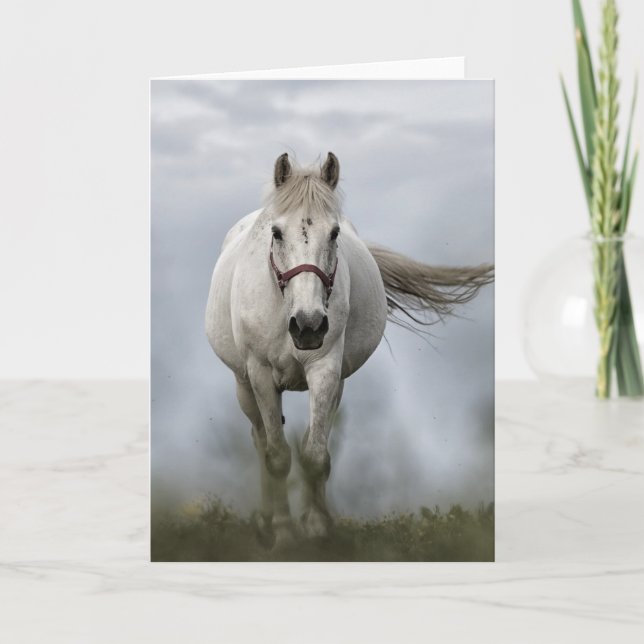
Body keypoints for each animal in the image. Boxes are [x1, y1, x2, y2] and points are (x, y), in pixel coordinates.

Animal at [205, 152, 493, 548]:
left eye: (334, 233)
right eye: (276, 233)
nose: (308, 325)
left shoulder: (326, 369)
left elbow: (315, 454)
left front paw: (316, 528)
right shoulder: (261, 374)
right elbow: (277, 456)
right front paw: (283, 532)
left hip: (336, 384)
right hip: (243, 385)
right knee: (260, 440)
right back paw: (266, 521)